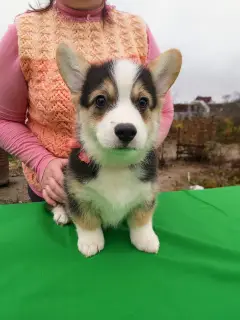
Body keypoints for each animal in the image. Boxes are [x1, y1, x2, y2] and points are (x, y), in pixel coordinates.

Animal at [52, 43, 180, 258]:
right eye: (100, 100)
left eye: (143, 102)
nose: (126, 131)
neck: (116, 164)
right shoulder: (77, 194)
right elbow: (86, 219)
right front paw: (90, 242)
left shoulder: (147, 193)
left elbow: (142, 218)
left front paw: (145, 239)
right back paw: (61, 213)